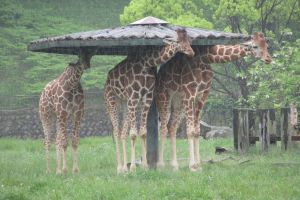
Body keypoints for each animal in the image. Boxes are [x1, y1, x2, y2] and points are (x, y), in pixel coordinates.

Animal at [104, 28, 196, 173]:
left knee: (122, 132)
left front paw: (145, 166)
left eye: (188, 41)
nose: (191, 52)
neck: (146, 63)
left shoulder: (147, 96)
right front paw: (134, 168)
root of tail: (107, 80)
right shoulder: (134, 96)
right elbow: (133, 134)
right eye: (178, 42)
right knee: (116, 131)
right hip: (111, 100)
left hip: (124, 102)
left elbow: (142, 132)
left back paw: (124, 167)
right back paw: (119, 168)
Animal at [156, 32, 274, 171]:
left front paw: (198, 165)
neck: (207, 56)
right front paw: (192, 166)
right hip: (164, 97)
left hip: (178, 101)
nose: (268, 59)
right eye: (255, 46)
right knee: (163, 127)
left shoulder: (202, 95)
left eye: (266, 46)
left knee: (172, 126)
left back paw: (174, 166)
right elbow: (190, 131)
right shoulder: (190, 92)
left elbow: (197, 131)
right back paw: (160, 165)